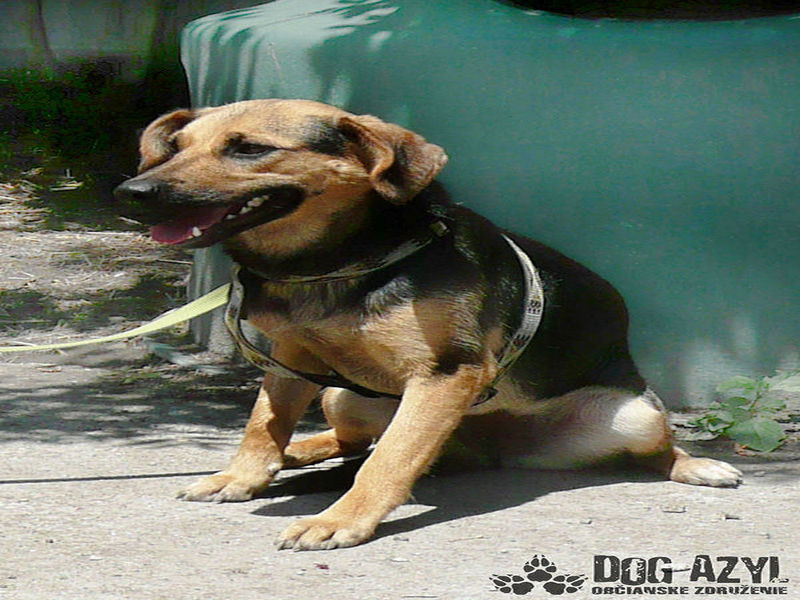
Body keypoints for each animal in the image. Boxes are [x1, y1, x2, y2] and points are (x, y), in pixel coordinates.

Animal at [114, 99, 742, 551]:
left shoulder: (446, 374)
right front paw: (242, 476)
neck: (334, 263)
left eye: (248, 149)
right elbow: (261, 426)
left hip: (634, 415)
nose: (132, 193)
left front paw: (342, 519)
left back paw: (698, 466)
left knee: (657, 450)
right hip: (342, 393)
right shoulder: (289, 361)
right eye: (174, 148)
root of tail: (485, 451)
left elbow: (390, 459)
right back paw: (299, 452)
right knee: (349, 438)